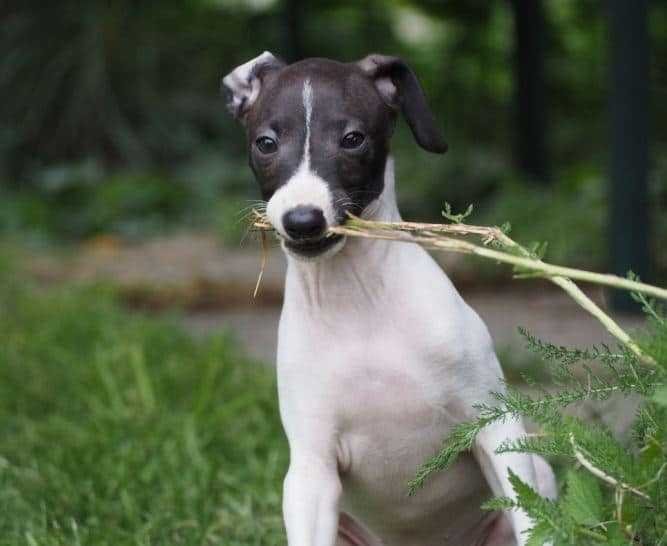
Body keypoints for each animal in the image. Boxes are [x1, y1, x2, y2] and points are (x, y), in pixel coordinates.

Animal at [222, 52, 556, 544]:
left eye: (352, 139)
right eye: (266, 143)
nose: (303, 221)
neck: (359, 301)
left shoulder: (494, 428)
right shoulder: (311, 470)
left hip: (537, 473)